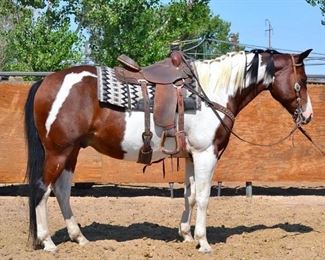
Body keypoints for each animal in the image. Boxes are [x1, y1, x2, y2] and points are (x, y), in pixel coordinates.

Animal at [24, 48, 312, 252]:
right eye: (303, 80)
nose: (308, 115)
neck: (212, 93)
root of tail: (47, 82)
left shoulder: (191, 156)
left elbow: (190, 195)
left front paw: (186, 235)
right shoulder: (207, 154)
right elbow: (204, 197)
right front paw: (203, 242)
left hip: (71, 152)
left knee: (62, 191)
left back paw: (79, 238)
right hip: (58, 152)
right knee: (42, 190)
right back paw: (47, 242)